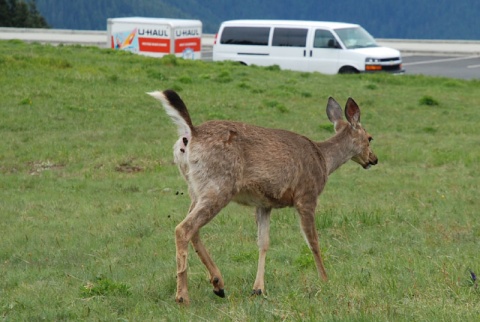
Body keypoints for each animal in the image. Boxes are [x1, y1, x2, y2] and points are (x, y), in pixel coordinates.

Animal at [148, 88, 376, 304]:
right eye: (370, 138)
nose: (374, 159)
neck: (324, 161)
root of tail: (191, 133)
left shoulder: (264, 204)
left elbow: (263, 242)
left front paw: (258, 288)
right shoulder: (306, 195)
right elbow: (313, 242)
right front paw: (325, 279)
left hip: (196, 188)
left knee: (193, 230)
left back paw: (218, 284)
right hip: (219, 185)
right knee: (183, 228)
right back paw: (183, 296)